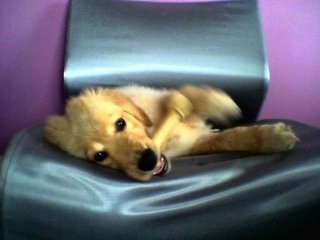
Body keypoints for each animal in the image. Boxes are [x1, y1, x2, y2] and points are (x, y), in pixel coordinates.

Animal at [43, 85, 298, 181]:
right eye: (99, 156)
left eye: (120, 123)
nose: (147, 161)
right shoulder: (197, 143)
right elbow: (229, 139)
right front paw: (274, 138)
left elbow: (188, 95)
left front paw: (218, 101)